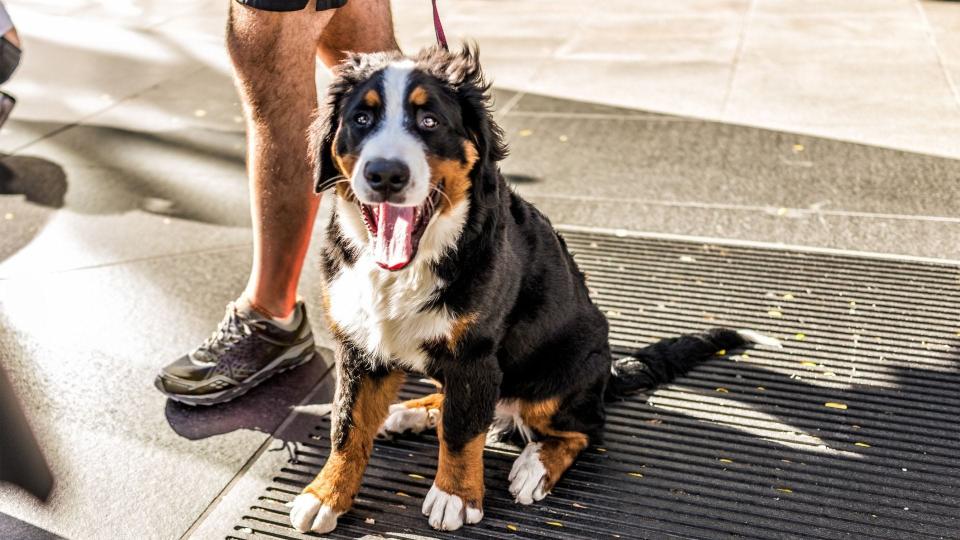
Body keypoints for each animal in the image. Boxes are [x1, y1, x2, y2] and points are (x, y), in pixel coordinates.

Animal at [284, 45, 772, 532]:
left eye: (430, 121)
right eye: (362, 119)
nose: (386, 174)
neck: (408, 266)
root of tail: (606, 372)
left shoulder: (476, 356)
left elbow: (462, 433)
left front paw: (455, 495)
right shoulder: (360, 345)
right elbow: (347, 427)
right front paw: (326, 494)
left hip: (556, 376)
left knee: (582, 428)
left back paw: (534, 467)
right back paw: (412, 411)